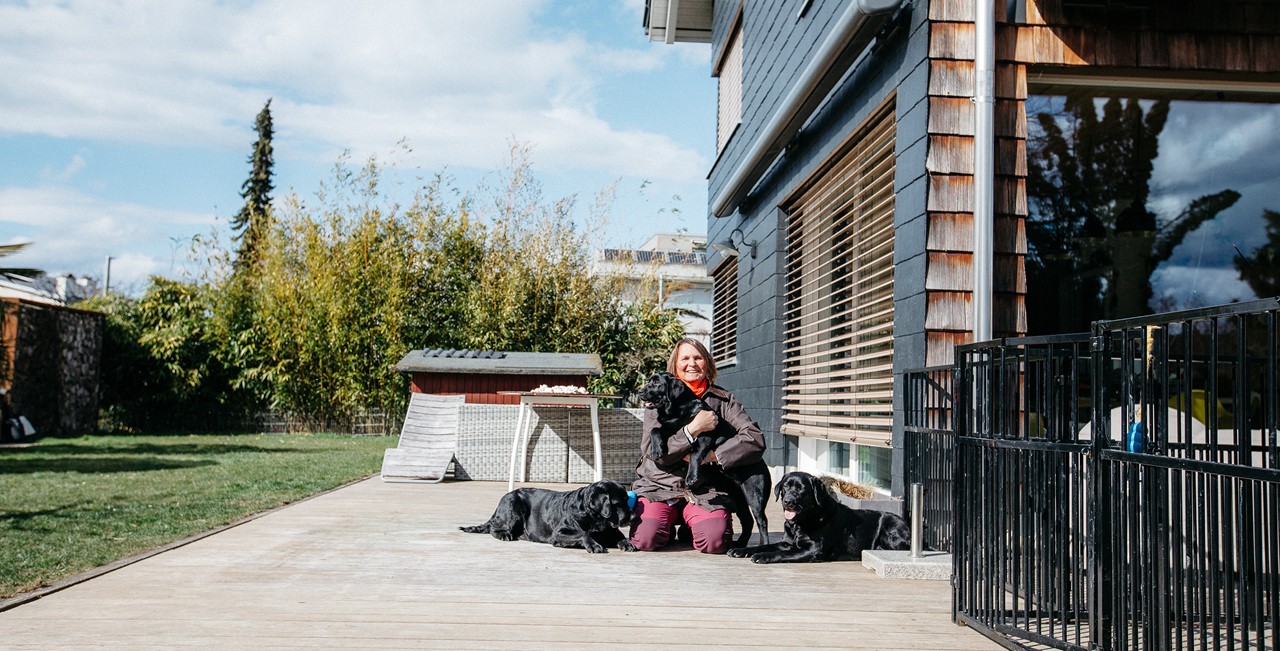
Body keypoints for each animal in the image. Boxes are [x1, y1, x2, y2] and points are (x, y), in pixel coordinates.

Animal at [460, 480, 640, 549]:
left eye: (627, 499)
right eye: (618, 503)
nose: (634, 517)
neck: (594, 519)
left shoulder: (611, 530)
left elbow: (619, 536)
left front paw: (627, 543)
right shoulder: (560, 533)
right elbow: (583, 534)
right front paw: (594, 545)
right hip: (513, 506)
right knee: (494, 527)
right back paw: (505, 535)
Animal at [637, 370, 768, 547]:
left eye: (657, 383)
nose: (640, 392)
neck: (677, 409)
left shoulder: (705, 436)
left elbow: (694, 454)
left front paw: (691, 477)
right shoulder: (670, 427)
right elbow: (655, 429)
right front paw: (657, 449)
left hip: (754, 493)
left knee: (762, 520)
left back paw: (763, 546)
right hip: (739, 497)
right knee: (748, 520)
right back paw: (738, 545)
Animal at [732, 470, 911, 560]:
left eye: (801, 489)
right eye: (785, 487)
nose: (788, 501)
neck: (801, 523)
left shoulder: (812, 549)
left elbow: (781, 553)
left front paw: (762, 556)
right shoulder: (787, 542)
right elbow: (766, 545)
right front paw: (741, 550)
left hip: (891, 530)